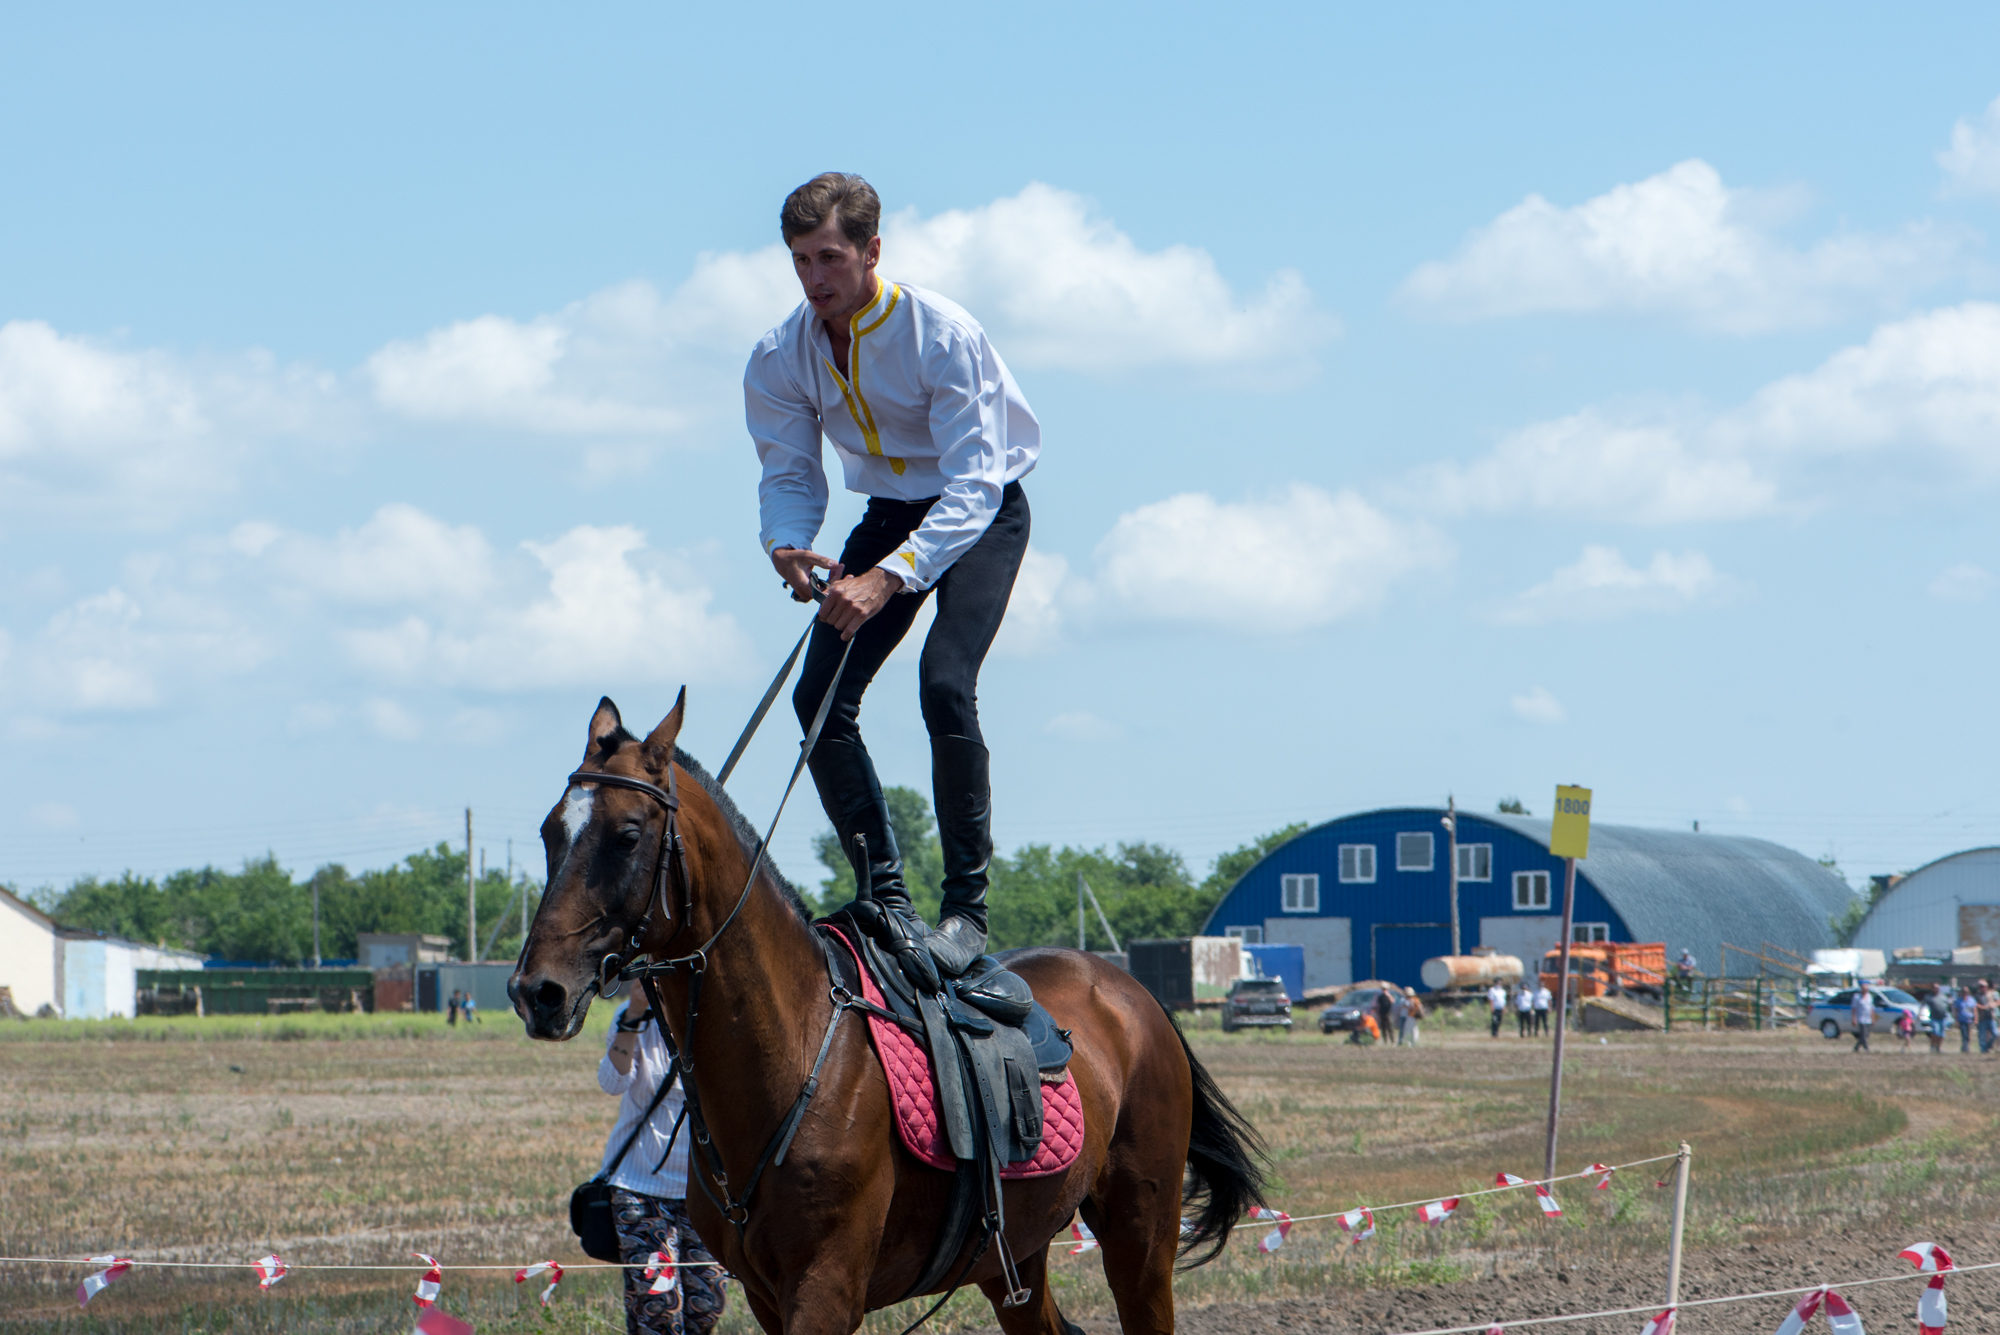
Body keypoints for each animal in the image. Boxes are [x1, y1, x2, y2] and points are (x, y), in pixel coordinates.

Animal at [516, 699, 1264, 1335]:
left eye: (627, 835)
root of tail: (1132, 993)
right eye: (550, 831)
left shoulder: (825, 1289)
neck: (799, 1047)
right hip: (1012, 1258)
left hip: (1141, 1236)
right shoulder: (767, 1297)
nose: (537, 991)